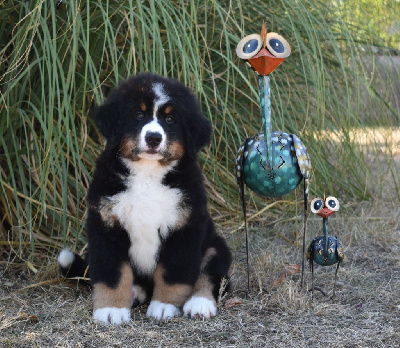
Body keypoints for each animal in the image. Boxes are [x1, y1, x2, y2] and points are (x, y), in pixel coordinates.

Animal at [57, 72, 231, 324]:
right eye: (138, 115)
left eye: (170, 119)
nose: (153, 138)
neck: (147, 174)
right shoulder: (106, 226)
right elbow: (112, 274)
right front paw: (110, 309)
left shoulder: (184, 227)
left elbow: (173, 275)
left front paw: (164, 306)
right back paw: (133, 293)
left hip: (215, 246)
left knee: (210, 275)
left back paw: (199, 303)